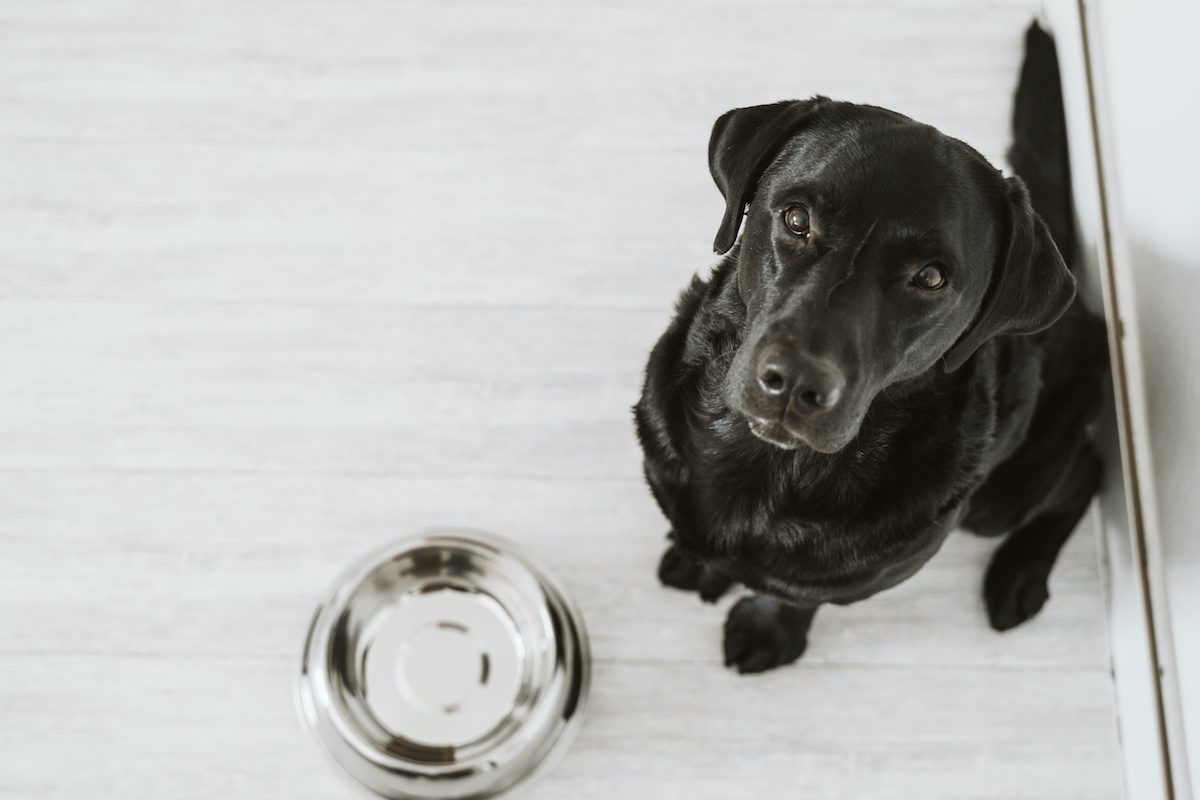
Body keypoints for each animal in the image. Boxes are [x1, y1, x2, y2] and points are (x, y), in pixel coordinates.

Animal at [633, 25, 1108, 671]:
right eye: (796, 218)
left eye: (930, 278)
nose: (795, 382)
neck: (773, 469)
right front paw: (698, 561)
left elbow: (797, 595)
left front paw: (768, 629)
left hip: (1000, 500)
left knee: (1088, 467)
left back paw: (1019, 572)